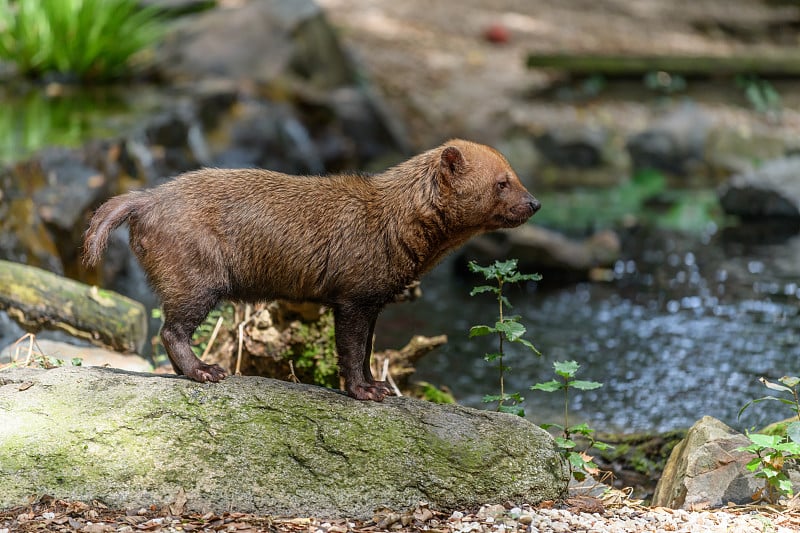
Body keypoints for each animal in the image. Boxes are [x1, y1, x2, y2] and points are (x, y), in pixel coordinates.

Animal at [84, 140, 540, 400]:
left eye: (517, 174)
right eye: (502, 181)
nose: (534, 202)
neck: (389, 222)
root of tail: (146, 198)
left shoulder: (375, 299)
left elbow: (367, 350)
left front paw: (378, 385)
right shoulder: (355, 294)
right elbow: (351, 349)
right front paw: (365, 392)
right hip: (195, 274)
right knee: (171, 329)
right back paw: (205, 371)